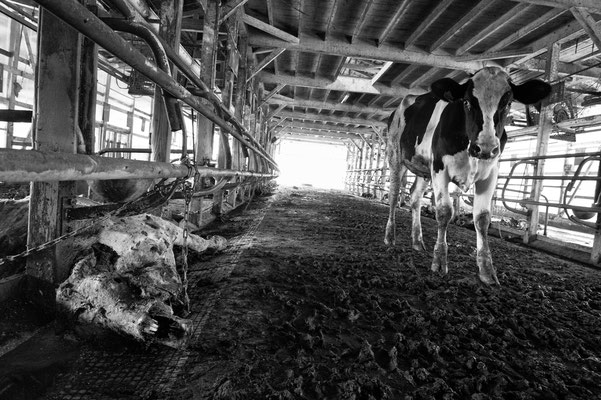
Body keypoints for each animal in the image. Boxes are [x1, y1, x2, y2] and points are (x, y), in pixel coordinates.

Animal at [384, 66, 548, 284]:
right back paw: (390, 237)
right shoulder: (440, 168)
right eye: (467, 102)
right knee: (394, 195)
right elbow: (444, 212)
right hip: (395, 155)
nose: (485, 147)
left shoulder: (491, 174)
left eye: (508, 104)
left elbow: (482, 219)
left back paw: (417, 241)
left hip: (424, 169)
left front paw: (487, 270)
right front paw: (439, 261)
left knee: (415, 197)